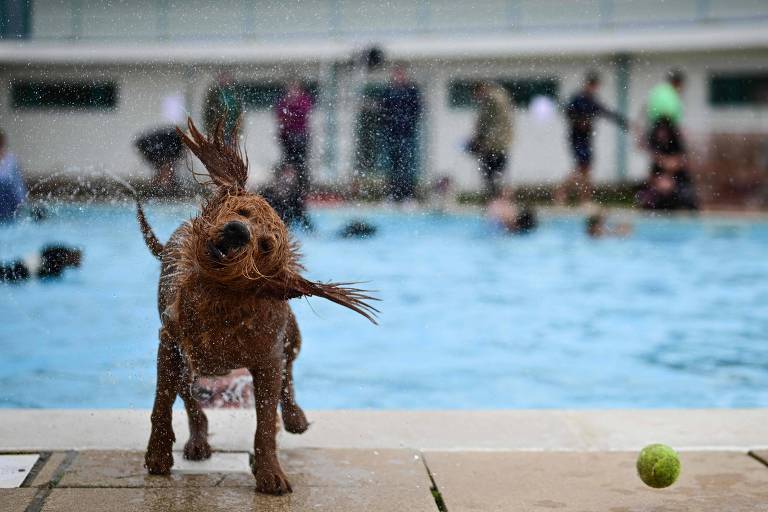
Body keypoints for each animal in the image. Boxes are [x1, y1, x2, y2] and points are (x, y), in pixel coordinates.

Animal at [138, 118, 378, 494]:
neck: (221, 305)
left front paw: (270, 473)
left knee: (288, 376)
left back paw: (294, 417)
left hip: (291, 337)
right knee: (189, 397)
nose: (237, 231)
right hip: (188, 359)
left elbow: (266, 422)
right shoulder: (170, 343)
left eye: (265, 245)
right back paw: (198, 440)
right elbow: (163, 401)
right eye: (242, 212)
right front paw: (159, 454)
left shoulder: (266, 360)